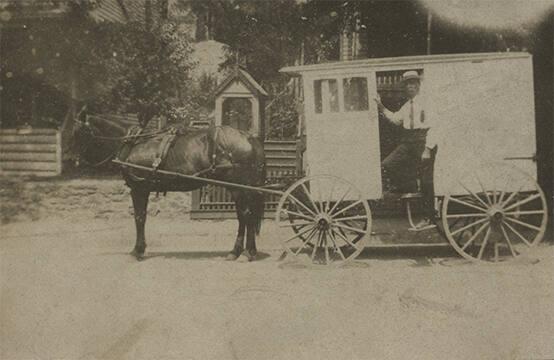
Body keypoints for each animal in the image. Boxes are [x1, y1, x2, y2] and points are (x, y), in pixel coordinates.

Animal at [71, 116, 266, 260]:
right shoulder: (142, 189)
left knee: (245, 216)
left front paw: (137, 250)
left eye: (78, 133)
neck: (134, 143)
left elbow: (139, 218)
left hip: (239, 188)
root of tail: (249, 137)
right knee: (246, 216)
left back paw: (242, 252)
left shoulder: (139, 189)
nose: (72, 159)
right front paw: (140, 248)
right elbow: (141, 218)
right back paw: (244, 251)